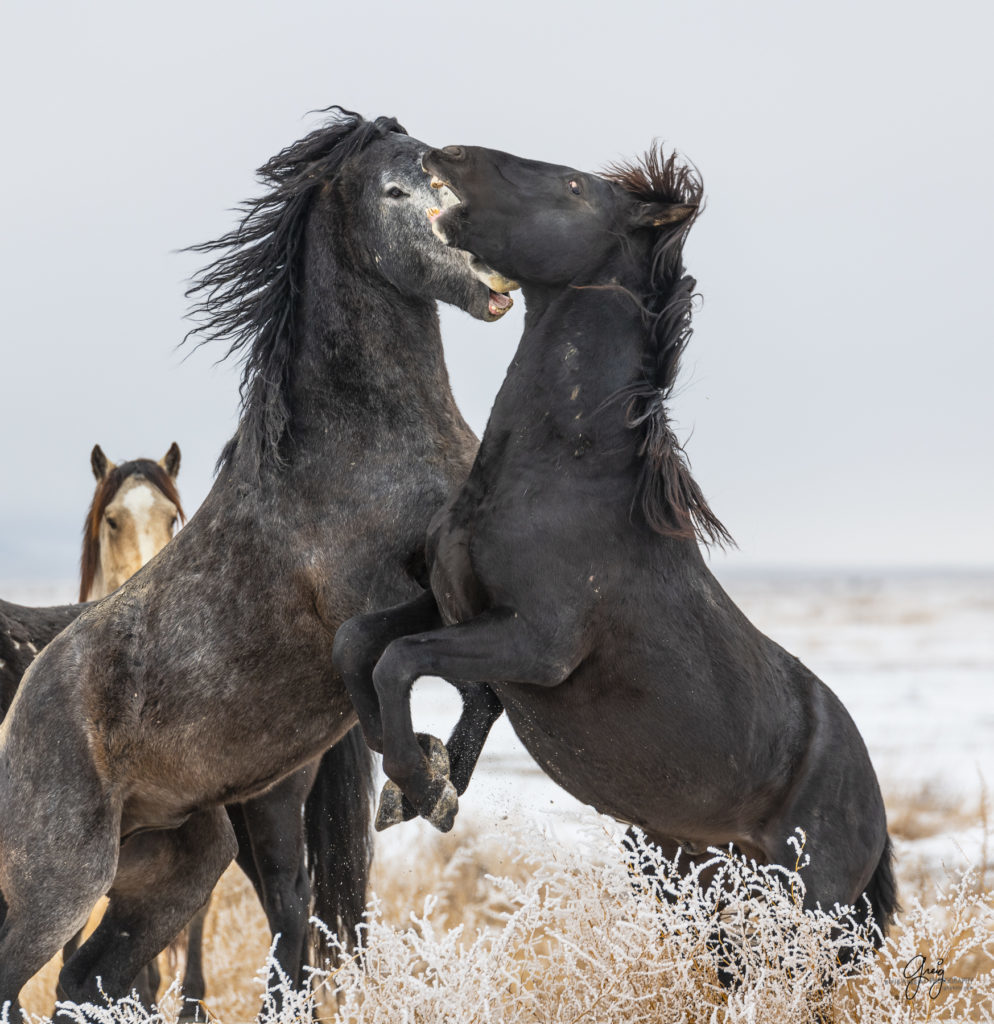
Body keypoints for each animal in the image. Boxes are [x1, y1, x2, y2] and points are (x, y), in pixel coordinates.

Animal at [0, 108, 513, 1019]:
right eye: (395, 191)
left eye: (449, 177)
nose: (494, 277)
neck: (364, 448)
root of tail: (22, 707)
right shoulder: (368, 607)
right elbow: (365, 659)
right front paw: (417, 783)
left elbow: (481, 687)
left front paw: (429, 780)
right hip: (58, 879)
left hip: (179, 863)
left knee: (93, 977)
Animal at [335, 142, 900, 942]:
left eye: (574, 187)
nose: (450, 154)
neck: (559, 479)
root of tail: (878, 818)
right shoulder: (451, 604)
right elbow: (358, 643)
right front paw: (415, 772)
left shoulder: (534, 643)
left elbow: (399, 661)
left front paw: (426, 783)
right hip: (692, 883)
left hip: (808, 914)